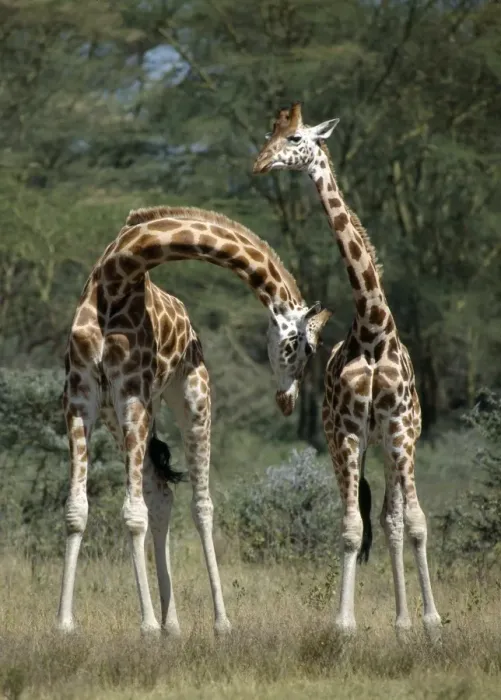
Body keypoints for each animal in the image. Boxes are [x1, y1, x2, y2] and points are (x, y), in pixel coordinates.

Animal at [57, 204, 331, 637]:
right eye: (306, 346)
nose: (287, 401)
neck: (118, 276)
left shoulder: (131, 392)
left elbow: (133, 514)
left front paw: (146, 625)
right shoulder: (80, 396)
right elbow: (77, 510)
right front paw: (66, 624)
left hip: (192, 401)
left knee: (201, 505)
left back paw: (220, 623)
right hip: (118, 416)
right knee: (160, 493)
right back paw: (172, 625)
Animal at [252, 104, 442, 642]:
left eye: (294, 138)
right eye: (269, 134)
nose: (260, 163)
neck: (374, 331)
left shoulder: (399, 428)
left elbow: (415, 521)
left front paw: (432, 622)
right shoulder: (348, 434)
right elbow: (352, 527)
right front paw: (344, 625)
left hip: (398, 442)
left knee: (396, 518)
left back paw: (407, 622)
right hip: (360, 443)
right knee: (374, 517)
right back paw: (398, 621)